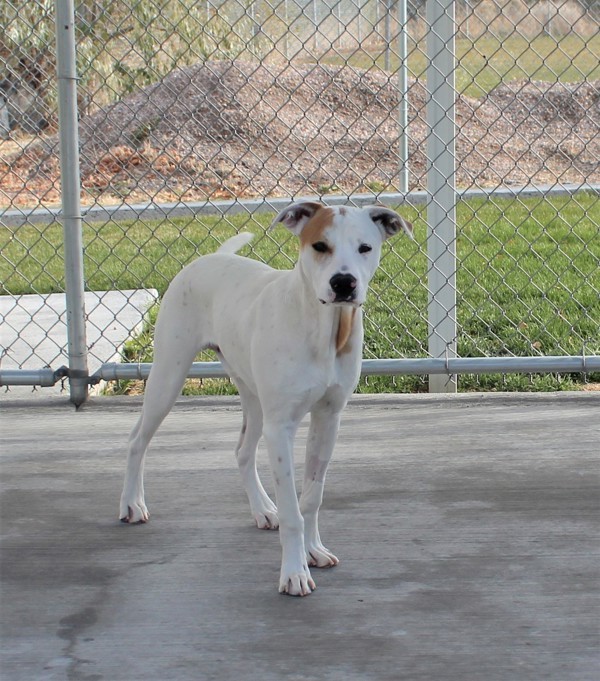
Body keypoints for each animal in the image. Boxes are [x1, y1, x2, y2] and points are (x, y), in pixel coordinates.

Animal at [122, 202, 412, 596]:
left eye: (365, 248)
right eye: (320, 246)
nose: (344, 283)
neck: (322, 328)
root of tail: (211, 257)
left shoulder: (328, 419)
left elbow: (311, 497)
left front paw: (313, 550)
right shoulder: (281, 428)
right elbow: (293, 510)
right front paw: (294, 572)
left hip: (254, 398)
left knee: (242, 451)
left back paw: (263, 510)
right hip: (169, 376)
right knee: (138, 440)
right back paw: (132, 505)